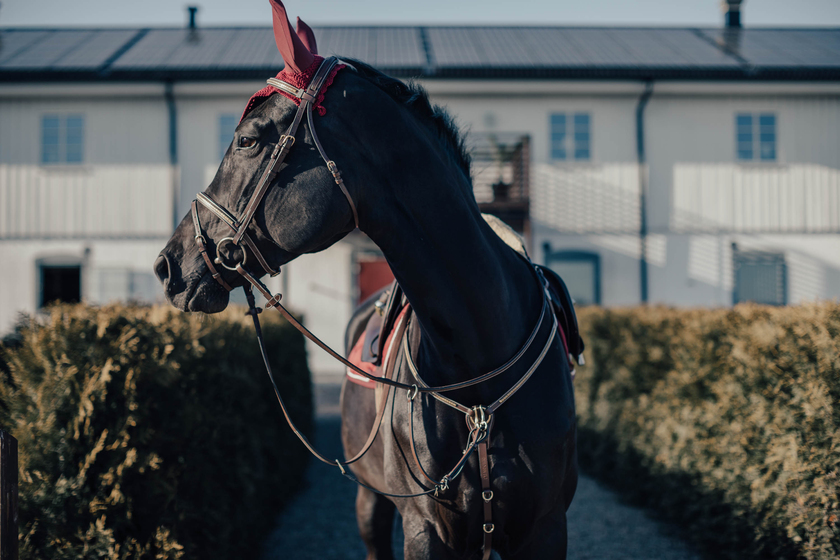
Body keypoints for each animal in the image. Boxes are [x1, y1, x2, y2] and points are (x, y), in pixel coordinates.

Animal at [154, 2, 576, 556]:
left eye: (247, 140)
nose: (170, 264)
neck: (480, 362)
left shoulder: (545, 530)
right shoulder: (424, 528)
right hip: (370, 504)